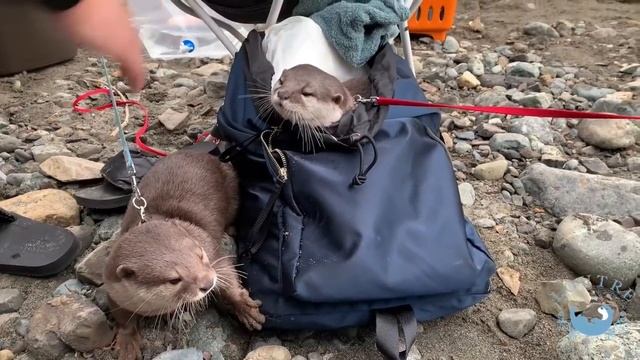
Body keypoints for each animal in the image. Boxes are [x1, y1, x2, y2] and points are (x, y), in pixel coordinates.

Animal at [104, 147, 264, 360]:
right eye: (174, 279)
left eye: (201, 255)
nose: (208, 283)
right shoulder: (114, 289)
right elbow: (122, 317)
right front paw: (127, 342)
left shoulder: (210, 248)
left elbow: (227, 275)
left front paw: (245, 309)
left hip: (232, 187)